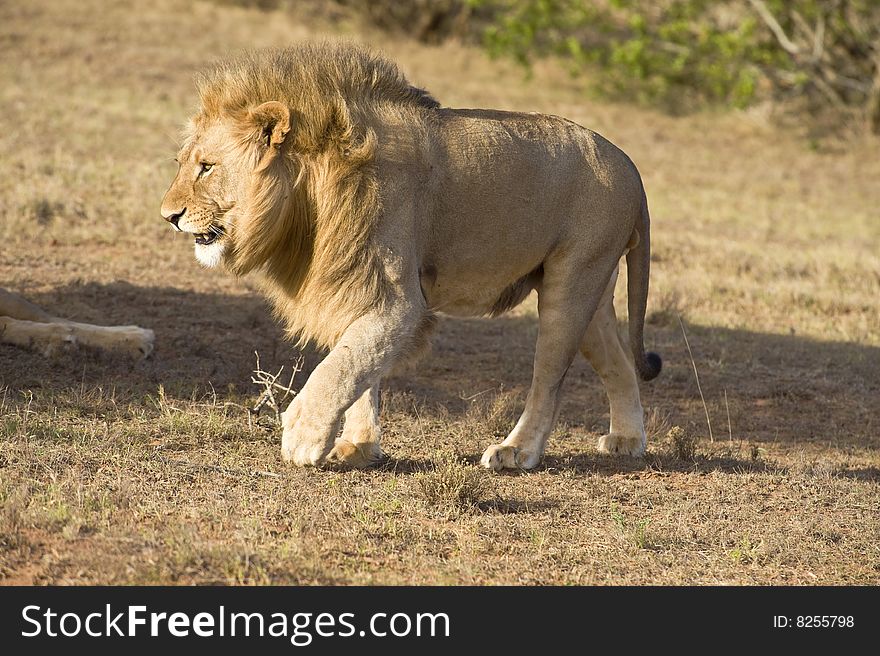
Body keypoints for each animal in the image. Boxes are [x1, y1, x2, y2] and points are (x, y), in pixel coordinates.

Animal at [163, 42, 660, 472]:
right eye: (183, 164)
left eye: (207, 167)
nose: (169, 215)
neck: (310, 194)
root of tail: (632, 169)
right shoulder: (353, 287)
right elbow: (361, 369)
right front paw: (359, 447)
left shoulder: (399, 302)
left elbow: (342, 364)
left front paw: (304, 433)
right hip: (592, 294)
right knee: (619, 363)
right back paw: (627, 440)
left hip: (571, 283)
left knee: (549, 381)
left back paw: (516, 452)